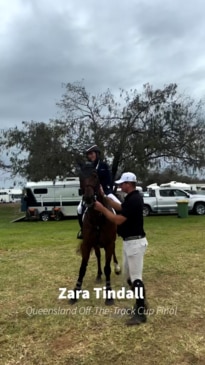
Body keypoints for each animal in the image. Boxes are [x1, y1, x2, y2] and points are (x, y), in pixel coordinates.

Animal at [70, 164, 118, 304]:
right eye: (80, 177)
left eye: (95, 175)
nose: (88, 199)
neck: (97, 217)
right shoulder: (87, 244)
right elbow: (82, 268)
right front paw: (75, 293)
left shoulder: (109, 243)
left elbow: (107, 268)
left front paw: (109, 295)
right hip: (96, 244)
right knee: (98, 256)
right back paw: (98, 275)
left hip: (112, 242)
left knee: (113, 252)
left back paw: (117, 267)